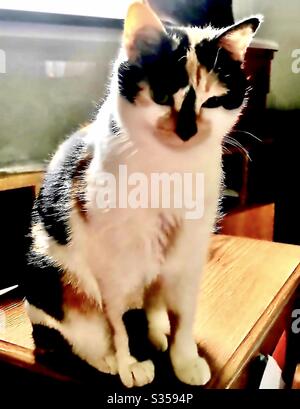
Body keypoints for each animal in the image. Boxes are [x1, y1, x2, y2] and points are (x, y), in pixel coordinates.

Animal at [24, 1, 262, 388]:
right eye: (162, 97)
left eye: (212, 102)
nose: (187, 131)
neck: (170, 170)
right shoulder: (112, 265)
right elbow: (118, 324)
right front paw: (130, 362)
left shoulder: (187, 254)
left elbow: (183, 316)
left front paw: (184, 360)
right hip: (53, 272)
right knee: (75, 332)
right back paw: (107, 357)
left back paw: (155, 332)